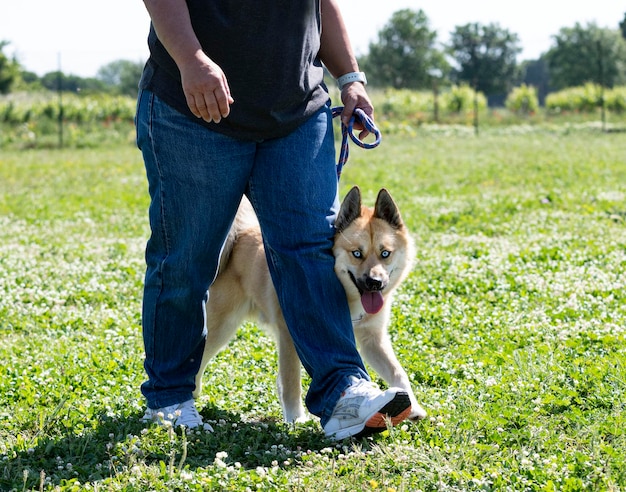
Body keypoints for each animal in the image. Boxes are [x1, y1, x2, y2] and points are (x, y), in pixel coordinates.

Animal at [195, 186, 426, 424]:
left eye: (385, 253)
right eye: (357, 254)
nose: (374, 282)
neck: (346, 296)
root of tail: (240, 234)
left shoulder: (373, 340)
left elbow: (398, 372)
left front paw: (413, 406)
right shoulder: (290, 337)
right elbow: (291, 382)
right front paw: (295, 419)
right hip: (222, 327)